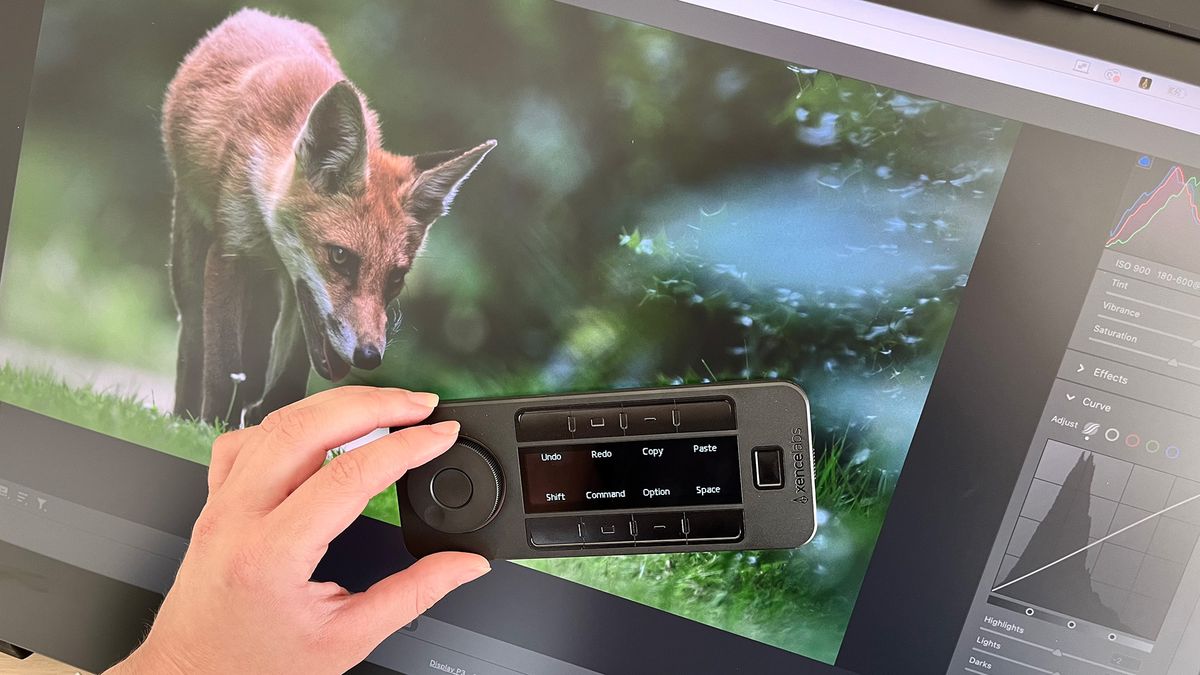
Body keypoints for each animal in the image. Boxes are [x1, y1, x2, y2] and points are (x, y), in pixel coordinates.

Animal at [162, 9, 494, 426]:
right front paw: (210, 429)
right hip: (190, 258)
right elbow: (223, 368)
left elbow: (288, 378)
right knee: (192, 334)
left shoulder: (297, 294)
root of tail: (262, 14)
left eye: (397, 277)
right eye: (340, 257)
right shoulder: (230, 252)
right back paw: (183, 416)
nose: (369, 357)